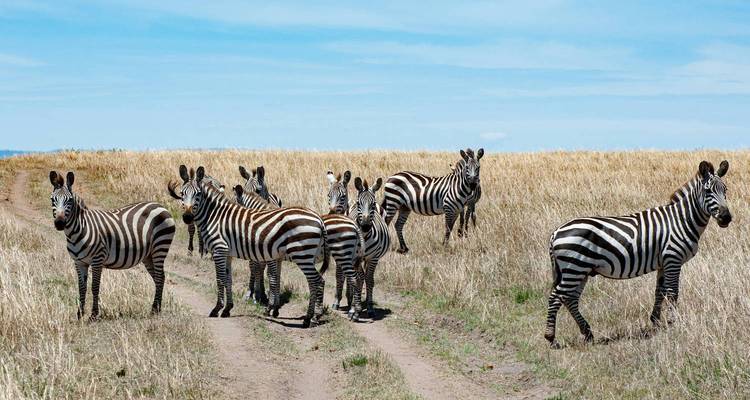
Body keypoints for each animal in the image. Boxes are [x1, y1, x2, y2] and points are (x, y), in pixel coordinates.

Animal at [49, 171, 175, 320]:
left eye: (69, 201)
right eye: (52, 199)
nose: (59, 223)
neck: (79, 229)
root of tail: (160, 205)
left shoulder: (97, 259)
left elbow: (95, 287)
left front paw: (93, 315)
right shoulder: (79, 262)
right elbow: (82, 287)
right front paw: (80, 314)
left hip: (160, 247)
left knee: (160, 277)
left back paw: (156, 310)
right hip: (148, 255)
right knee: (159, 277)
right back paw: (156, 308)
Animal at [169, 165, 329, 326]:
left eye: (198, 194)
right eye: (182, 194)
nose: (187, 217)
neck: (214, 216)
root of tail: (319, 219)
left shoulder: (219, 249)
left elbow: (220, 278)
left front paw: (217, 309)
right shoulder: (227, 253)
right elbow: (228, 279)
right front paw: (227, 309)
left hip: (302, 255)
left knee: (317, 281)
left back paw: (313, 317)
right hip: (305, 256)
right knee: (314, 282)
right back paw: (310, 317)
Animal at [237, 183, 364, 320]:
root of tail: (354, 224)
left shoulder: (271, 257)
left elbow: (269, 276)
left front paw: (266, 304)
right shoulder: (277, 258)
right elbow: (276, 277)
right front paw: (274, 307)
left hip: (342, 254)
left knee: (354, 278)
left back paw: (354, 312)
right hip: (352, 255)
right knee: (359, 276)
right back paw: (354, 308)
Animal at [349, 177, 390, 318]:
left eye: (373, 204)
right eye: (358, 203)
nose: (366, 226)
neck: (365, 236)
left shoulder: (373, 258)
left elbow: (369, 280)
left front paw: (370, 307)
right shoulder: (355, 258)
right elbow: (357, 280)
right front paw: (354, 309)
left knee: (366, 278)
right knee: (356, 278)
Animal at [545, 160, 732, 347]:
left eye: (725, 190)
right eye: (708, 191)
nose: (726, 217)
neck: (682, 220)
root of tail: (556, 232)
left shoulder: (663, 262)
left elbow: (659, 291)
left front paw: (655, 321)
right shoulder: (673, 258)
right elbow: (672, 292)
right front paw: (673, 322)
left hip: (580, 270)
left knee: (570, 299)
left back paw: (588, 333)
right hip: (574, 268)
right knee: (556, 296)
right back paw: (551, 337)